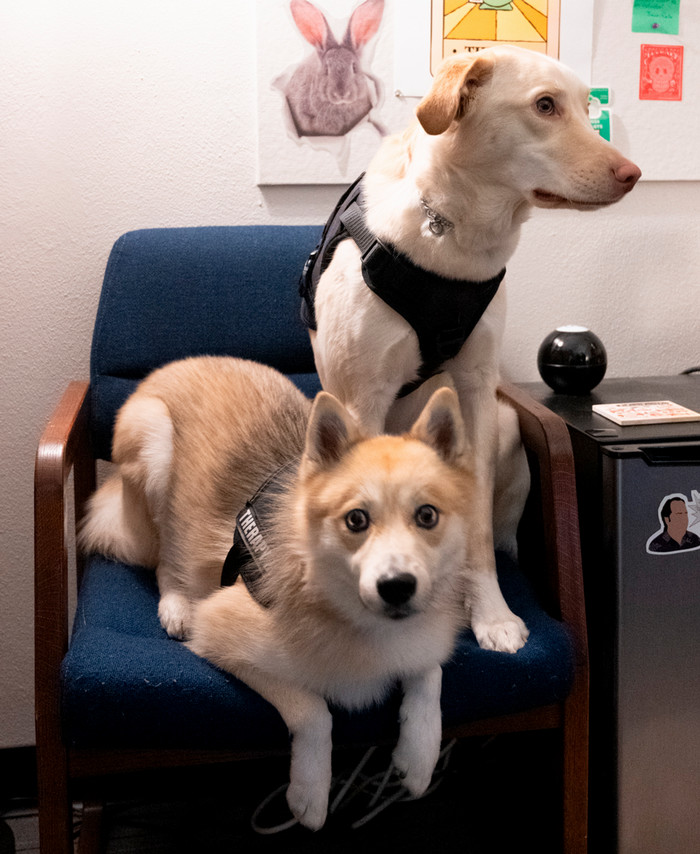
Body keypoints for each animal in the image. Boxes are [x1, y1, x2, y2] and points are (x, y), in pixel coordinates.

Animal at [80, 358, 476, 832]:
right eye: (356, 520)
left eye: (427, 516)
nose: (397, 586)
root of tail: (180, 364)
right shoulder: (220, 633)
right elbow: (313, 710)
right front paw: (310, 792)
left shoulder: (425, 639)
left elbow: (430, 674)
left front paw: (418, 757)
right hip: (154, 447)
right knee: (164, 557)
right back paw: (176, 604)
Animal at [304, 46, 644, 656]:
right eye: (545, 105)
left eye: (589, 108)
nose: (633, 174)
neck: (452, 235)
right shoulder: (362, 396)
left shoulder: (479, 393)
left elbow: (479, 526)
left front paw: (491, 614)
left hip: (506, 425)